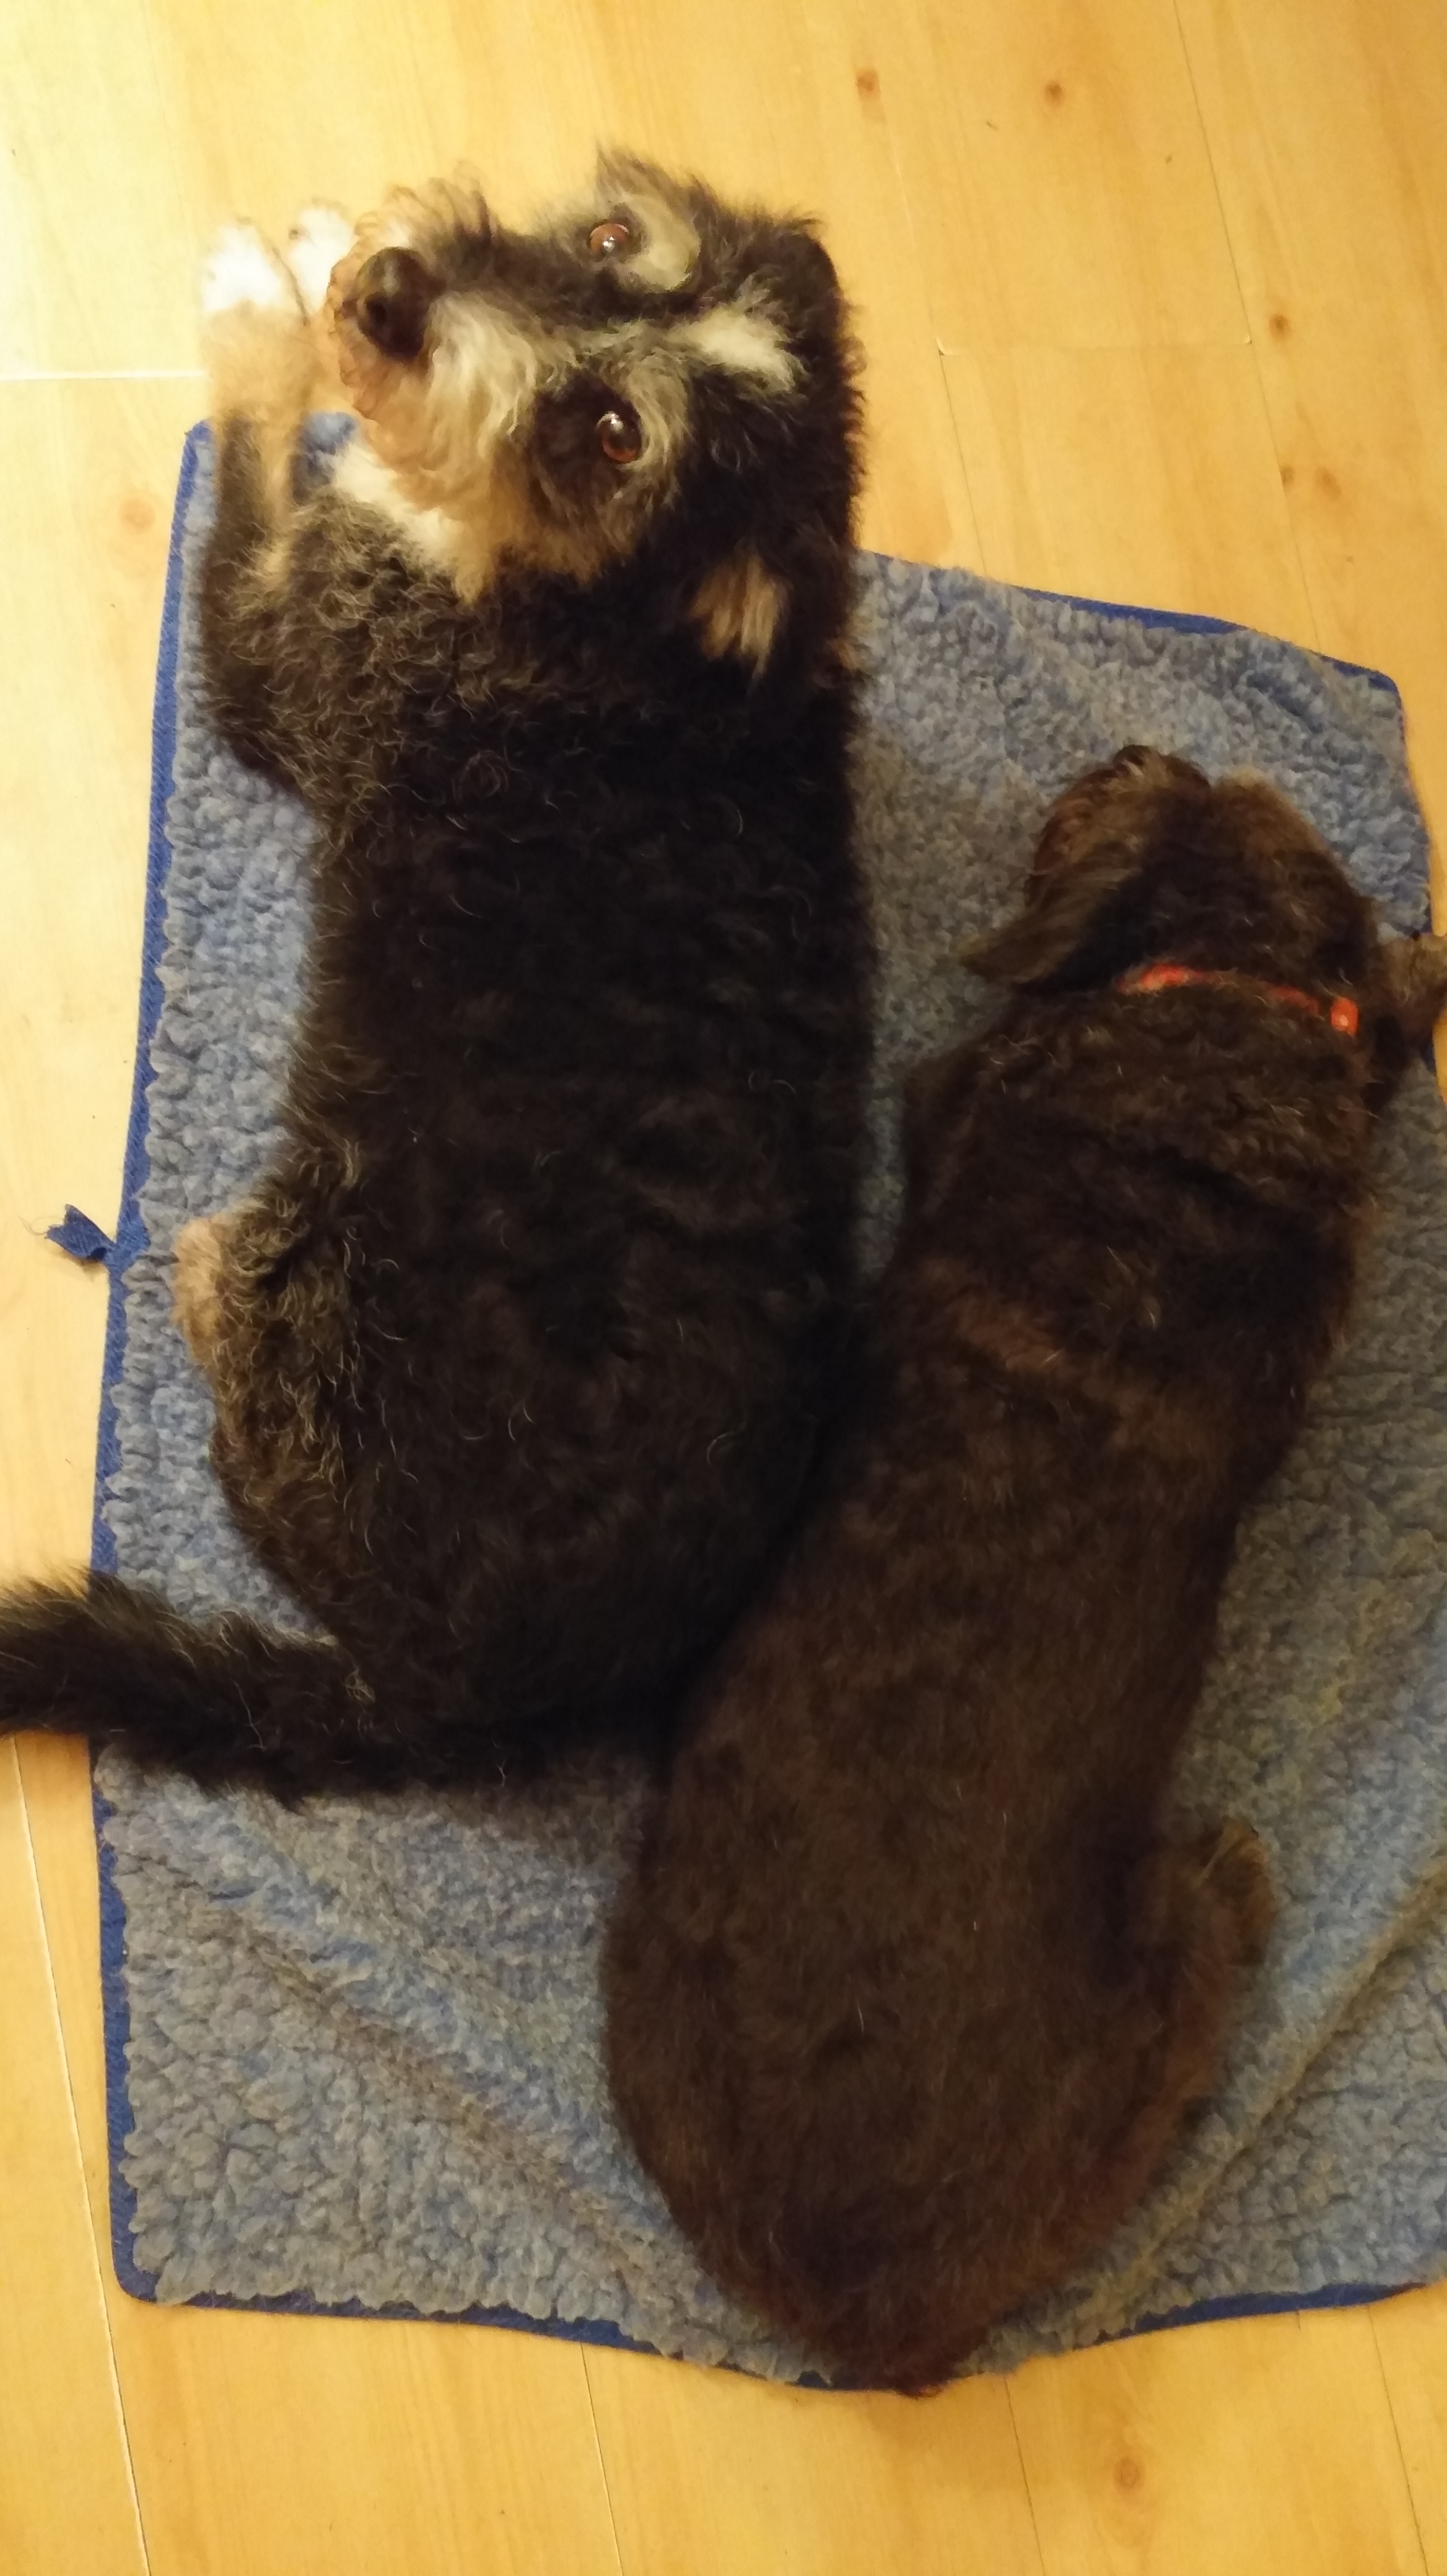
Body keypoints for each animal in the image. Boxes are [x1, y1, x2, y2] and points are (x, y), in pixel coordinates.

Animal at [0, 157, 873, 1792]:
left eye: (614, 436)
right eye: (609, 239)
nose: (401, 293)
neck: (623, 645)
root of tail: (451, 1699)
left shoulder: (285, 654)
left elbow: (258, 451)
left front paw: (255, 298)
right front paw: (328, 254)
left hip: (318, 1292)